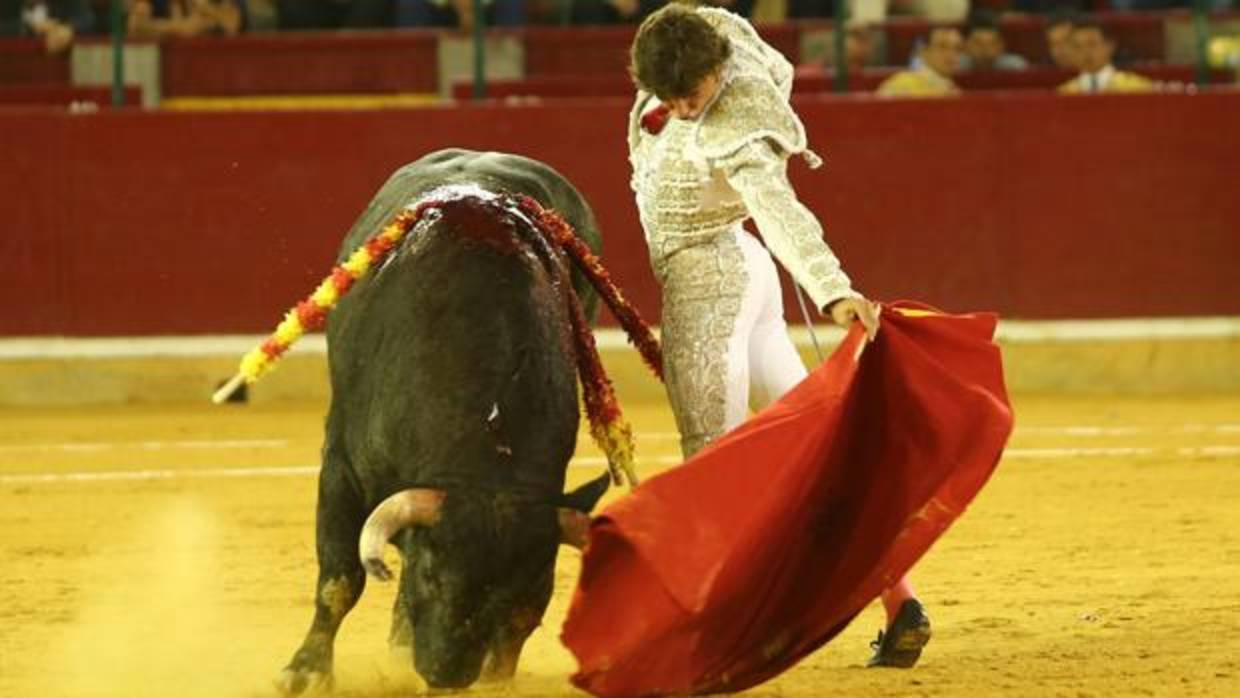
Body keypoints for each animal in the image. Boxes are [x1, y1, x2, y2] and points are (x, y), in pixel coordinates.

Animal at [279, 148, 612, 694]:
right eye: (431, 575)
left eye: (528, 594)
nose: (447, 672)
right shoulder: (341, 467)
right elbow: (340, 578)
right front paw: (304, 672)